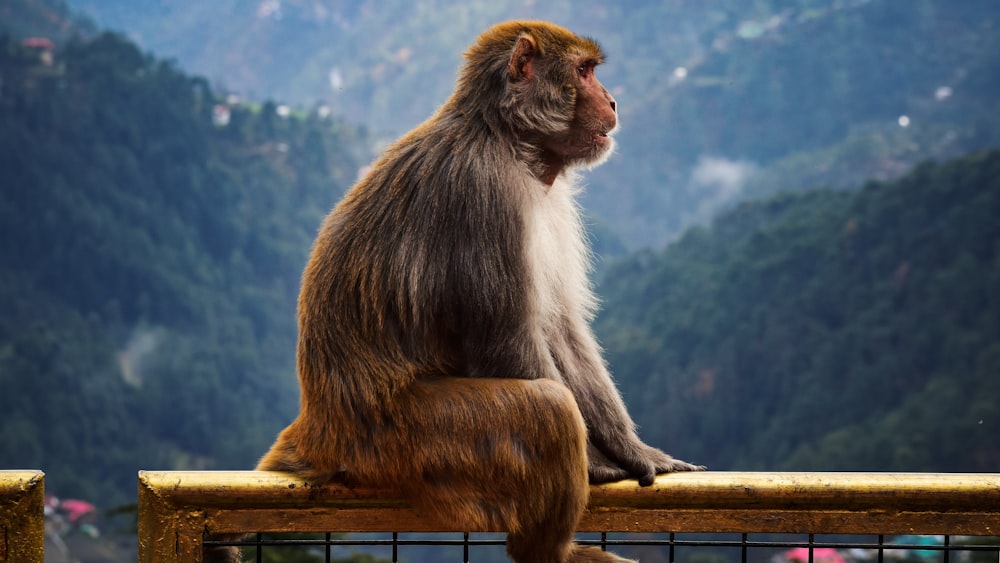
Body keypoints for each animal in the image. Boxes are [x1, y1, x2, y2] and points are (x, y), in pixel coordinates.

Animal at [207, 18, 700, 563]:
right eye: (584, 72)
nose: (612, 101)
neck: (510, 143)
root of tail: (320, 427)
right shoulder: (484, 193)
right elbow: (508, 343)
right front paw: (596, 460)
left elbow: (561, 331)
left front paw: (633, 448)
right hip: (410, 442)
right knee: (547, 408)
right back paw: (548, 551)